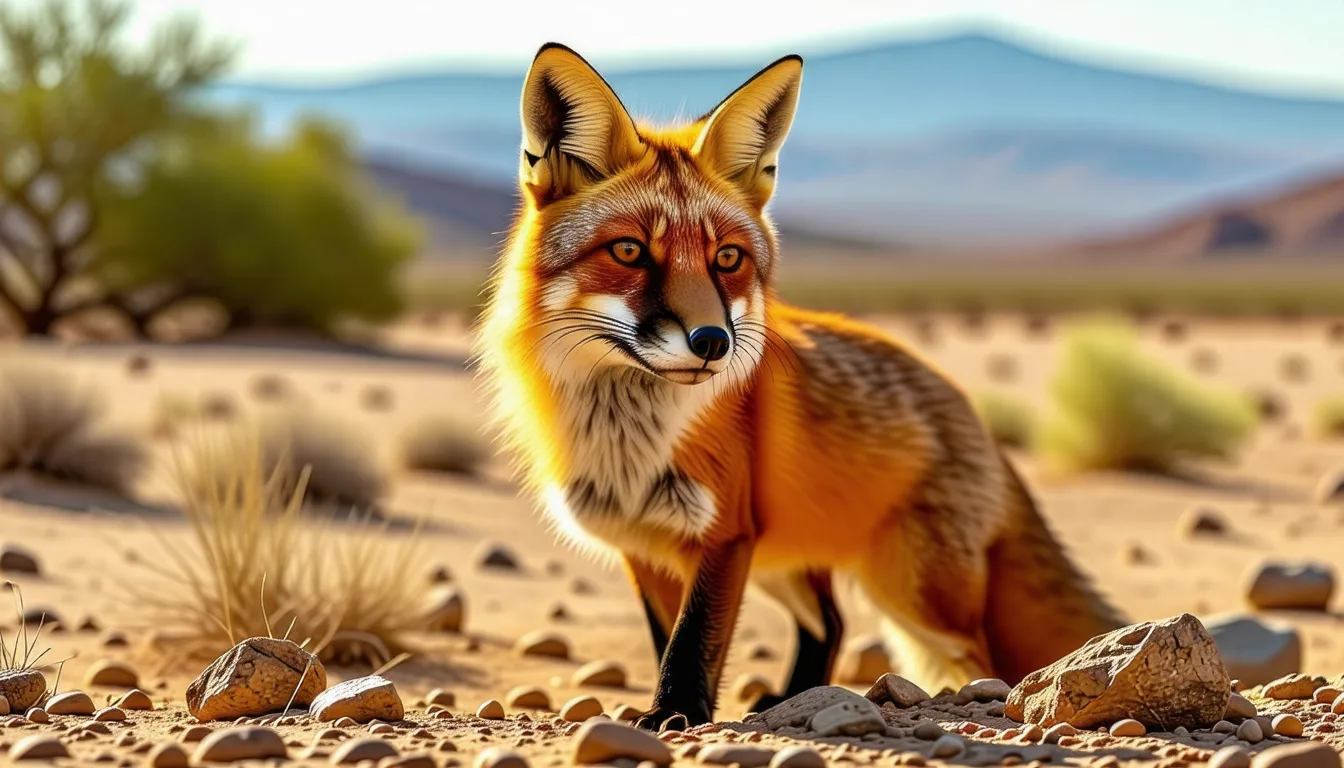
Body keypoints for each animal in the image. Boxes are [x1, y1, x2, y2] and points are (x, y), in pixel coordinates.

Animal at [475, 43, 1125, 732]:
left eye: (727, 259)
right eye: (629, 251)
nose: (713, 342)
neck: (626, 441)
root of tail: (967, 408)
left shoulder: (724, 533)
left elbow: (693, 638)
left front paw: (676, 713)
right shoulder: (644, 545)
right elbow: (666, 638)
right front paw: (673, 709)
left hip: (914, 591)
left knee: (972, 651)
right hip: (788, 564)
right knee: (831, 623)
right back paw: (795, 696)